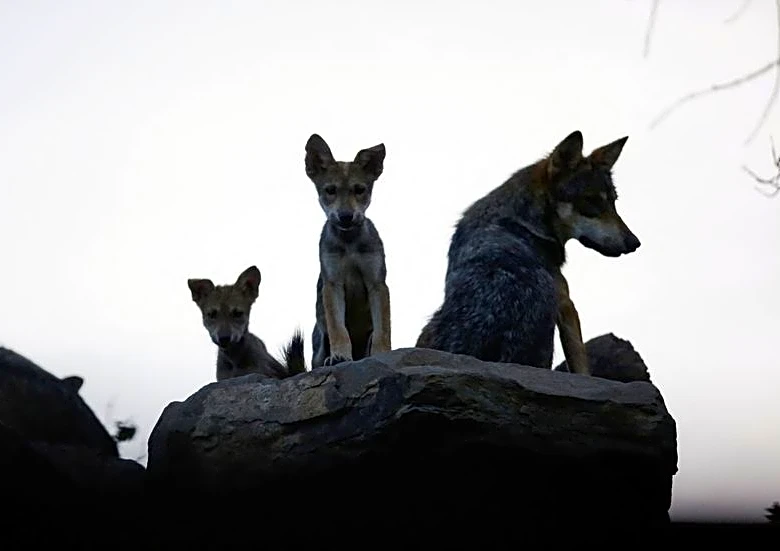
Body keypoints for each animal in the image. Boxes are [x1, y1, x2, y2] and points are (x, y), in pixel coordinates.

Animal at [304, 133, 392, 369]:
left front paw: (382, 355)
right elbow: (338, 328)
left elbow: (382, 331)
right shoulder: (332, 284)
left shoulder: (377, 283)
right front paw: (339, 356)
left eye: (360, 189)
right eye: (330, 190)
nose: (345, 216)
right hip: (318, 339)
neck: (349, 243)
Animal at [415, 130, 640, 374]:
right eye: (591, 201)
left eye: (613, 202)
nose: (634, 242)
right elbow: (581, 366)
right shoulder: (566, 304)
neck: (524, 221)